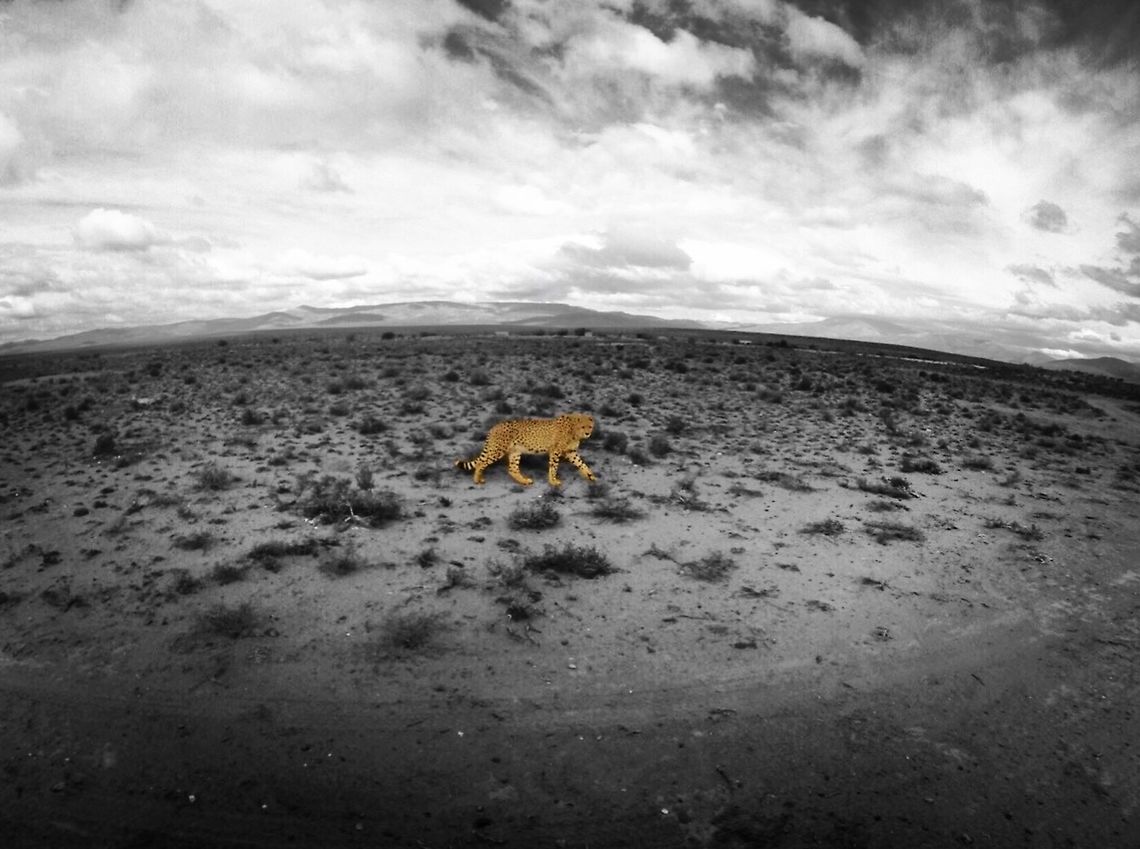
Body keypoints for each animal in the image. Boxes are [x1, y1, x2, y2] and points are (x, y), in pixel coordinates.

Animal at [455, 413, 597, 487]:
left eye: (590, 426)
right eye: (583, 426)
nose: (588, 433)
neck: (573, 429)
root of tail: (494, 427)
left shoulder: (570, 452)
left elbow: (582, 464)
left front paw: (591, 476)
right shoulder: (555, 451)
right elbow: (553, 466)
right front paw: (553, 481)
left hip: (515, 452)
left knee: (512, 469)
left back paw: (524, 481)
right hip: (497, 450)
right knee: (480, 463)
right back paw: (477, 480)